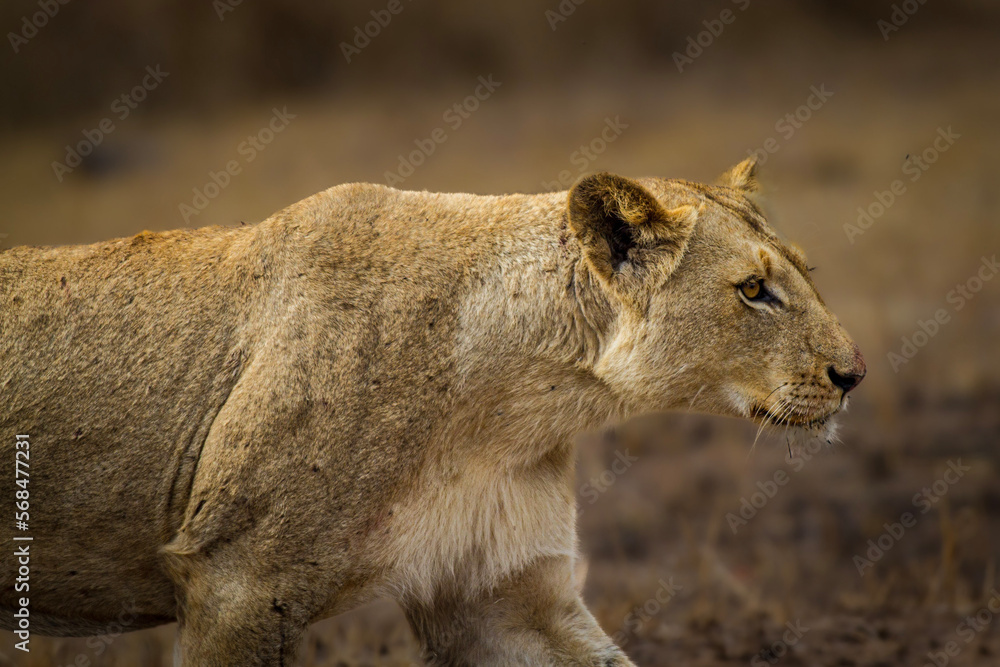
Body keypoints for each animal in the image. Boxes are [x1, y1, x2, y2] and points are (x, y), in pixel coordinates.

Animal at [0, 157, 864, 665]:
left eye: (805, 272)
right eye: (753, 289)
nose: (854, 374)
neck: (513, 404)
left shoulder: (499, 593)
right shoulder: (235, 581)